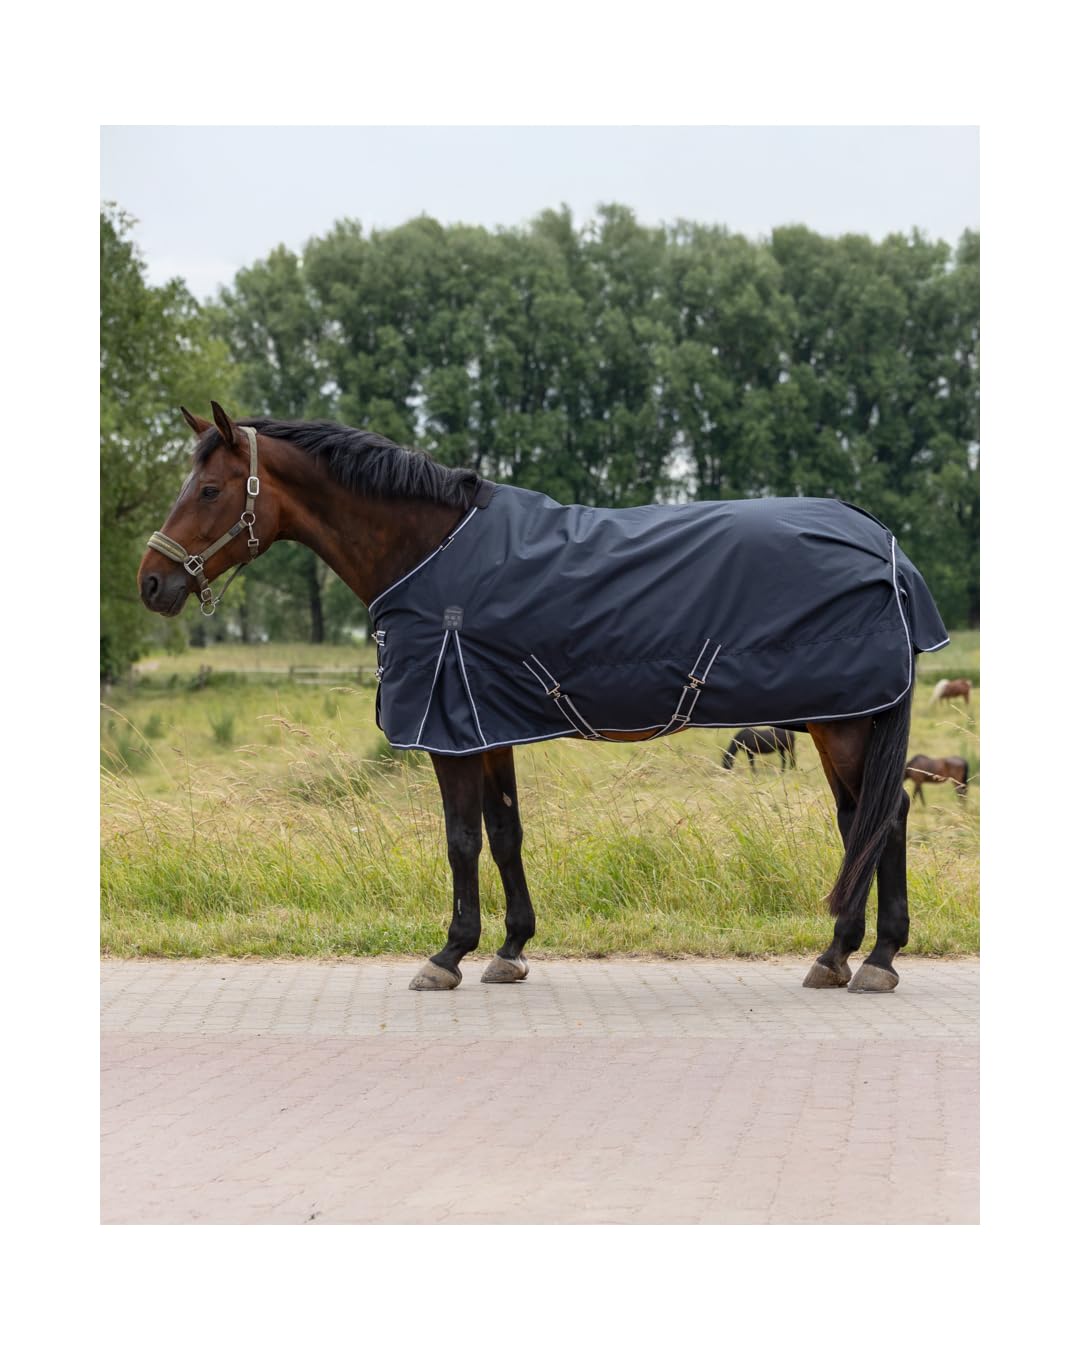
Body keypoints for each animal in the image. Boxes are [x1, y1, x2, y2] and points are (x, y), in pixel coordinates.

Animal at [138, 404, 949, 996]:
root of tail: (880, 540)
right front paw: (511, 948)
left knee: (885, 819)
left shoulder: (450, 732)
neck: (430, 552)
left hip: (845, 725)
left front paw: (448, 954)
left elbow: (461, 839)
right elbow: (505, 835)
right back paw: (840, 955)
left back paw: (875, 960)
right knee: (859, 824)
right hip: (838, 721)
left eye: (209, 490)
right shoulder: (485, 727)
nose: (151, 581)